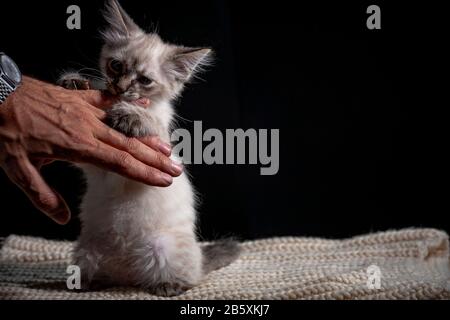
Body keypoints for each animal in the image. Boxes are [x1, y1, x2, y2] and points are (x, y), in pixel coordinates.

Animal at [60, 0, 243, 298]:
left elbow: (151, 121)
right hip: (86, 251)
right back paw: (90, 283)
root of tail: (127, 274)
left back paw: (167, 286)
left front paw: (128, 115)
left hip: (162, 247)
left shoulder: (162, 146)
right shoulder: (91, 160)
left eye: (144, 80)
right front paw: (74, 82)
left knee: (187, 278)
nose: (120, 87)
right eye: (116, 66)